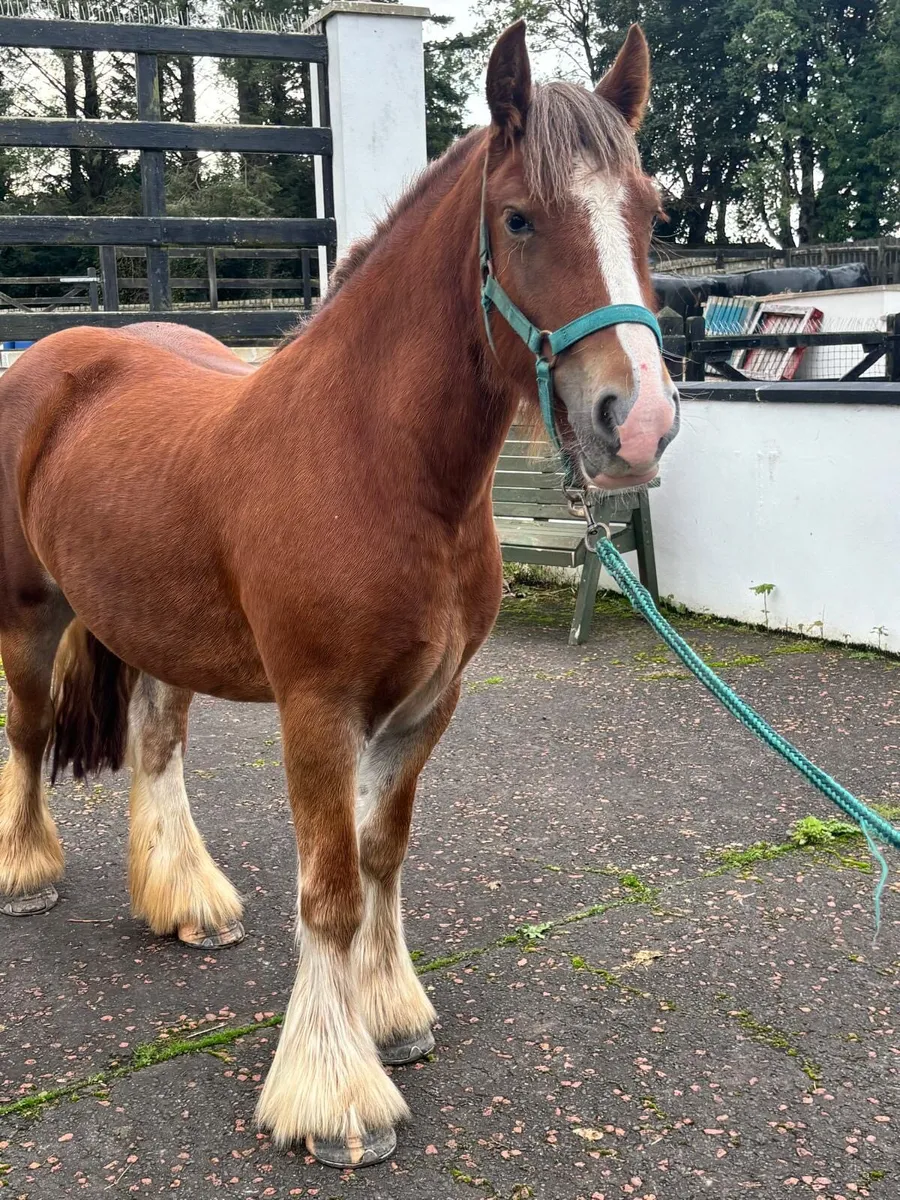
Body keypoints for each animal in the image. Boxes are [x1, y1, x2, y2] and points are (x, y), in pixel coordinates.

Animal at [0, 21, 678, 1167]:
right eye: (519, 217)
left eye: (650, 212)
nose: (638, 423)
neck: (379, 462)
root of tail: (60, 353)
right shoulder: (317, 709)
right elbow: (327, 888)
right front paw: (334, 1097)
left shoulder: (424, 707)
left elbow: (379, 861)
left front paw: (390, 1016)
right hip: (27, 612)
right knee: (28, 729)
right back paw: (27, 875)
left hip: (157, 628)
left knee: (154, 743)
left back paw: (186, 899)